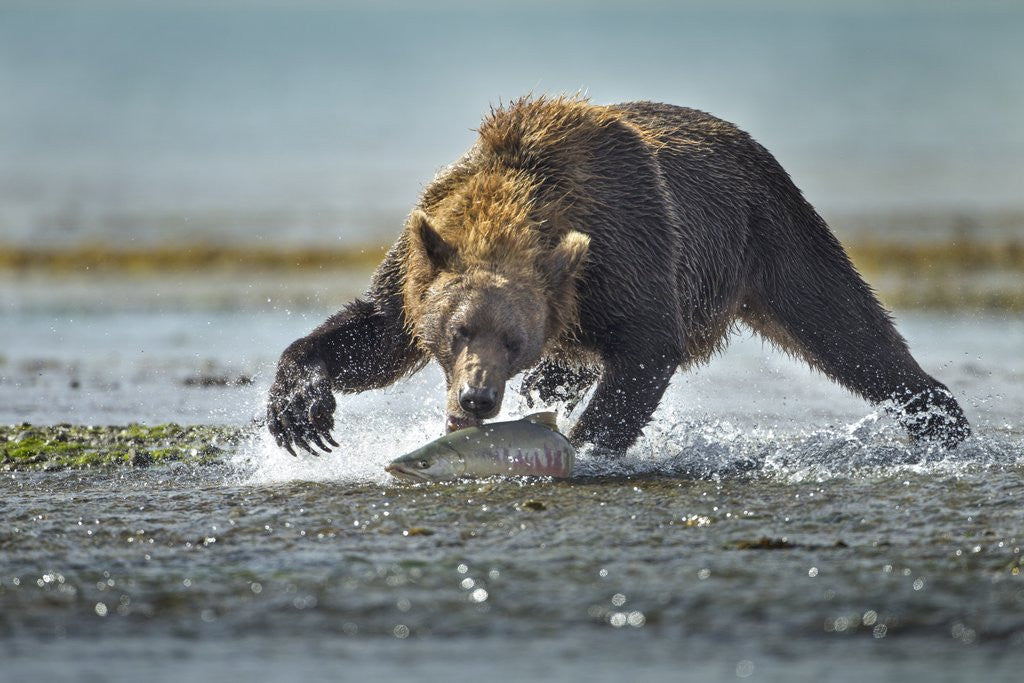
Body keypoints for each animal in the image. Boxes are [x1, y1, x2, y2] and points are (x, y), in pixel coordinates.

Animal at [266, 96, 970, 456]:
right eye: (457, 331)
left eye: (512, 339)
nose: (477, 398)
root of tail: (746, 140)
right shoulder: (422, 256)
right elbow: (378, 332)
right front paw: (300, 412)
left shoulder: (623, 252)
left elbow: (648, 346)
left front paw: (586, 445)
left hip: (770, 231)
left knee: (845, 330)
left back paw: (940, 417)